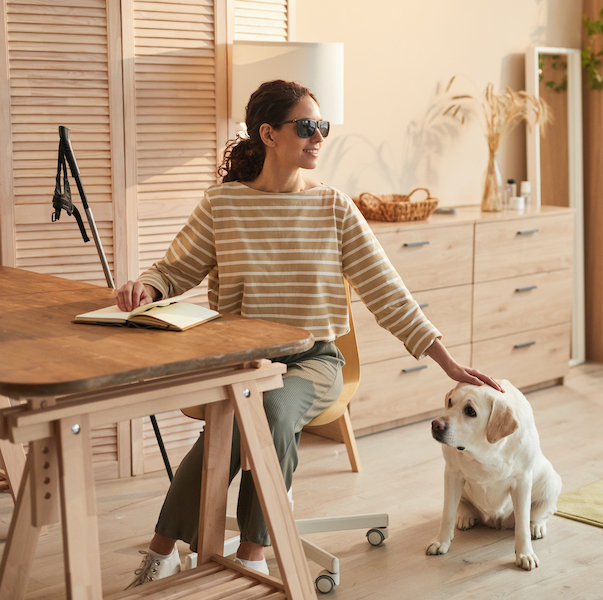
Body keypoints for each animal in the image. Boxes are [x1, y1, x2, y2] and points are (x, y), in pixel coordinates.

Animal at [424, 382, 560, 568]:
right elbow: (447, 514)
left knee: (539, 514)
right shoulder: (452, 473)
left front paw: (525, 554)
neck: (484, 452)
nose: (435, 424)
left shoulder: (522, 482)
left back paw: (536, 527)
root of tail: (497, 522)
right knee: (461, 507)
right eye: (450, 402)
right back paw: (466, 517)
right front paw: (441, 542)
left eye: (470, 411)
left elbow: (523, 524)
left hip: (551, 481)